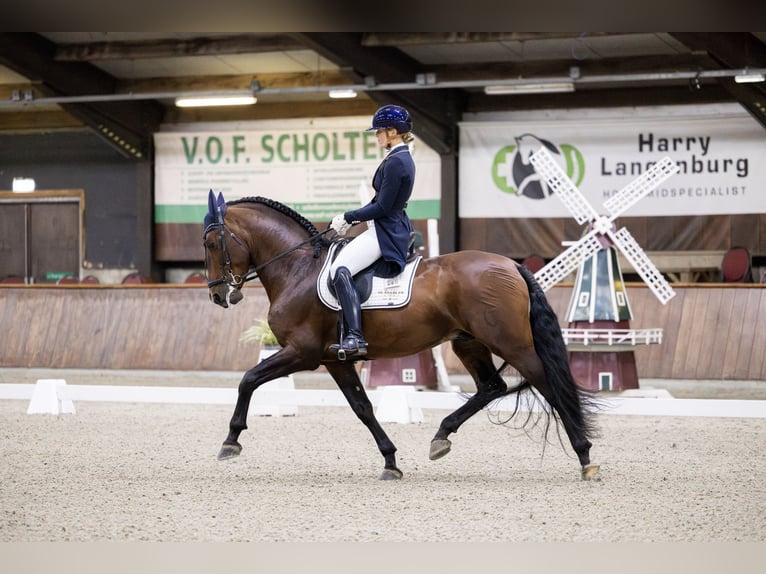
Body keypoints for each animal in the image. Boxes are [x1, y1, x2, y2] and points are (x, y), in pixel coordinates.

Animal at [202, 191, 600, 481]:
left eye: (211, 244)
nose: (219, 295)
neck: (297, 268)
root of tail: (512, 265)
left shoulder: (303, 352)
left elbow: (248, 379)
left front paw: (230, 442)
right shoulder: (334, 359)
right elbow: (362, 407)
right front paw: (391, 462)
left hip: (510, 342)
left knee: (547, 384)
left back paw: (585, 457)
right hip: (468, 341)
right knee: (492, 387)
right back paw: (441, 437)